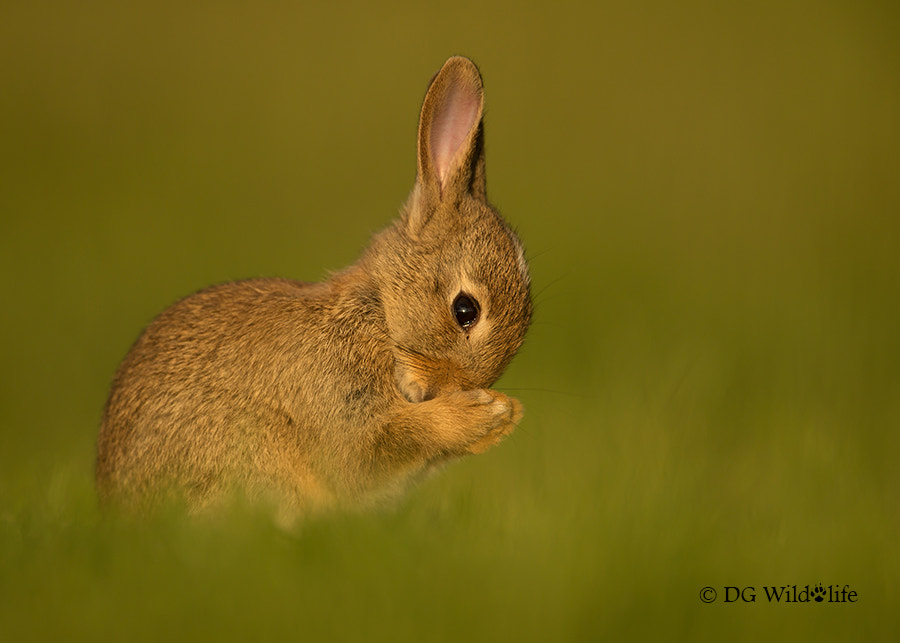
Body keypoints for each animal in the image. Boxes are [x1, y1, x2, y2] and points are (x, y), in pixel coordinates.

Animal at [95, 56, 532, 524]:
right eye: (465, 310)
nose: (457, 389)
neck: (379, 316)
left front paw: (507, 415)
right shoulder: (340, 408)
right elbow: (372, 452)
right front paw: (485, 414)